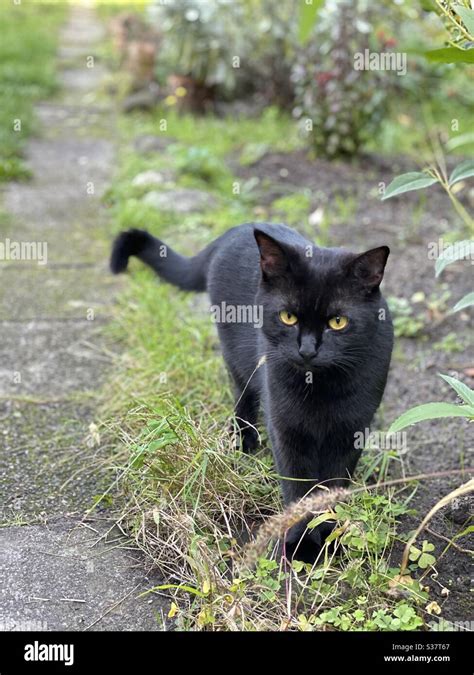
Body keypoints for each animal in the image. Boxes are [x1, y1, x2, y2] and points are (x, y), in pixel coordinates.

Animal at [110, 224, 392, 564]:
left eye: (338, 322)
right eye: (288, 317)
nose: (307, 350)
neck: (322, 386)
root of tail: (238, 229)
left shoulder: (351, 432)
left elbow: (330, 489)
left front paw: (328, 540)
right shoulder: (285, 430)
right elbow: (298, 490)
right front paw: (300, 546)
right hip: (237, 360)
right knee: (243, 397)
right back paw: (243, 442)